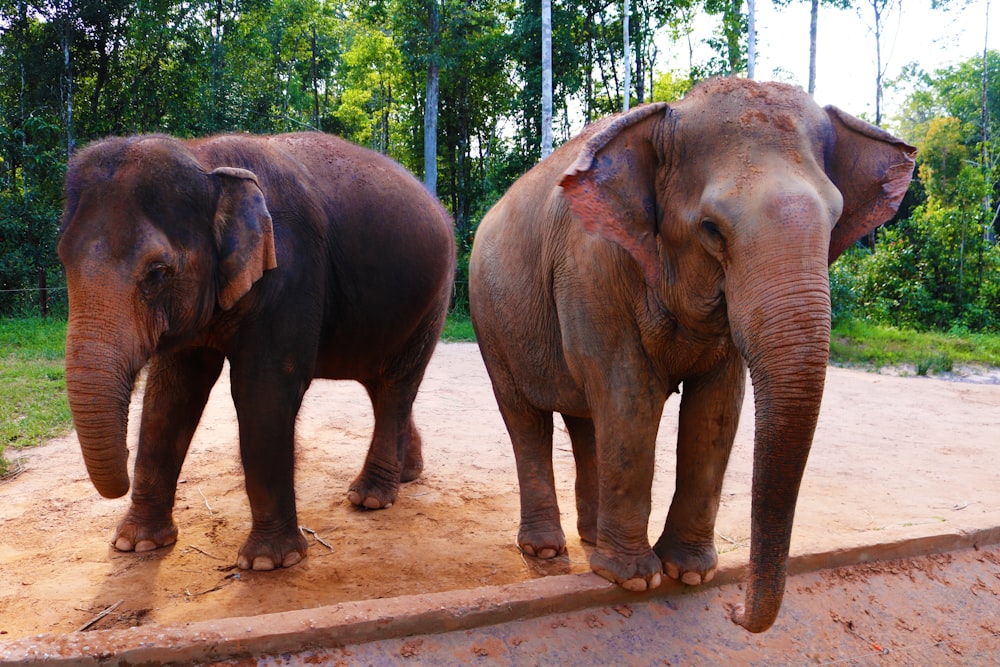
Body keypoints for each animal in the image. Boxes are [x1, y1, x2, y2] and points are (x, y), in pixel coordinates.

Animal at [59, 133, 458, 572]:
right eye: (62, 259)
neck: (206, 160)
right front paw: (137, 544)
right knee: (379, 382)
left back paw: (369, 498)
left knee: (396, 385)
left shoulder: (290, 269)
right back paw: (406, 474)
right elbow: (172, 393)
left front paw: (269, 563)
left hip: (435, 297)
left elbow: (263, 390)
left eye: (158, 272)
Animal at [468, 78, 916, 632]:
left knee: (586, 419)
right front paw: (635, 580)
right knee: (527, 418)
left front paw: (691, 574)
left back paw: (591, 538)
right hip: (491, 321)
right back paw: (548, 552)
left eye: (835, 222)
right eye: (711, 228)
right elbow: (631, 395)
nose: (736, 614)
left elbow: (717, 409)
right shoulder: (591, 266)